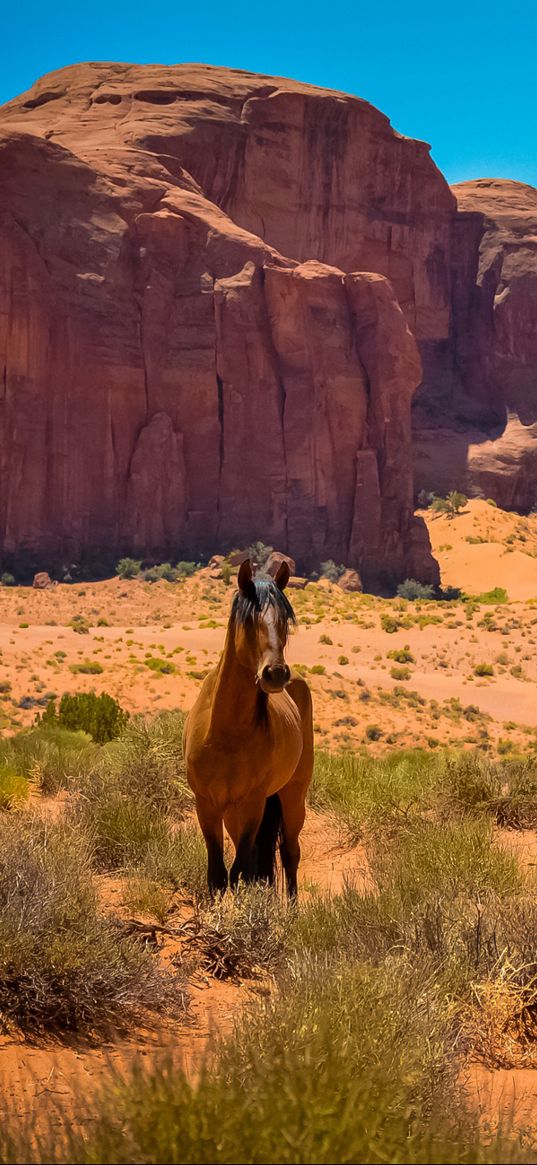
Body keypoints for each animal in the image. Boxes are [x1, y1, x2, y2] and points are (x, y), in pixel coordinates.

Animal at [182, 559, 312, 894]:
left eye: (285, 620)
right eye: (250, 620)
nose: (275, 674)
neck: (226, 734)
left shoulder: (252, 804)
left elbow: (240, 871)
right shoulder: (207, 805)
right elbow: (217, 875)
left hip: (293, 794)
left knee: (289, 852)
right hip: (235, 812)